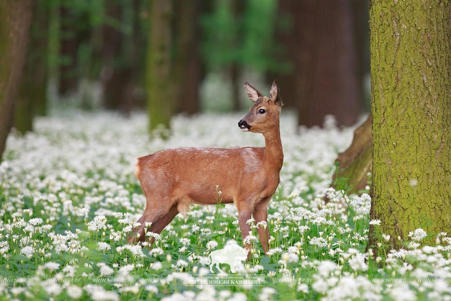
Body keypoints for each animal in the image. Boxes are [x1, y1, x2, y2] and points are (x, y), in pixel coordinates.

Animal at [129, 80, 284, 255]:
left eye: (261, 110)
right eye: (251, 107)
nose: (241, 123)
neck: (267, 163)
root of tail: (140, 163)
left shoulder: (263, 202)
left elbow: (266, 241)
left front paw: (269, 259)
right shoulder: (243, 197)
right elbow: (248, 242)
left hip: (170, 205)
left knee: (148, 237)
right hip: (157, 196)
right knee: (134, 232)